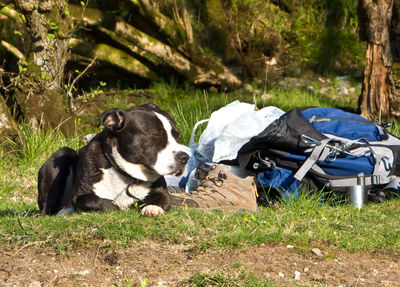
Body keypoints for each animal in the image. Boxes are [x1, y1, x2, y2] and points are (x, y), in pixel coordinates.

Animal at [38, 104, 189, 217]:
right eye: (156, 135)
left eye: (177, 136)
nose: (185, 157)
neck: (126, 175)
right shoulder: (81, 196)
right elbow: (104, 203)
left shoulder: (162, 194)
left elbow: (162, 201)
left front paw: (152, 208)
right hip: (62, 154)